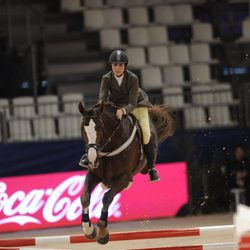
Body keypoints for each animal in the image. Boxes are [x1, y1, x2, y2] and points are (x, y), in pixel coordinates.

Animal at [78, 101, 176, 244]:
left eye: (100, 127)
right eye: (82, 129)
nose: (91, 159)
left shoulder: (123, 177)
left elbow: (107, 197)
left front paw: (102, 232)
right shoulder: (93, 174)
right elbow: (85, 197)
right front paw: (88, 229)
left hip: (144, 165)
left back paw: (153, 173)